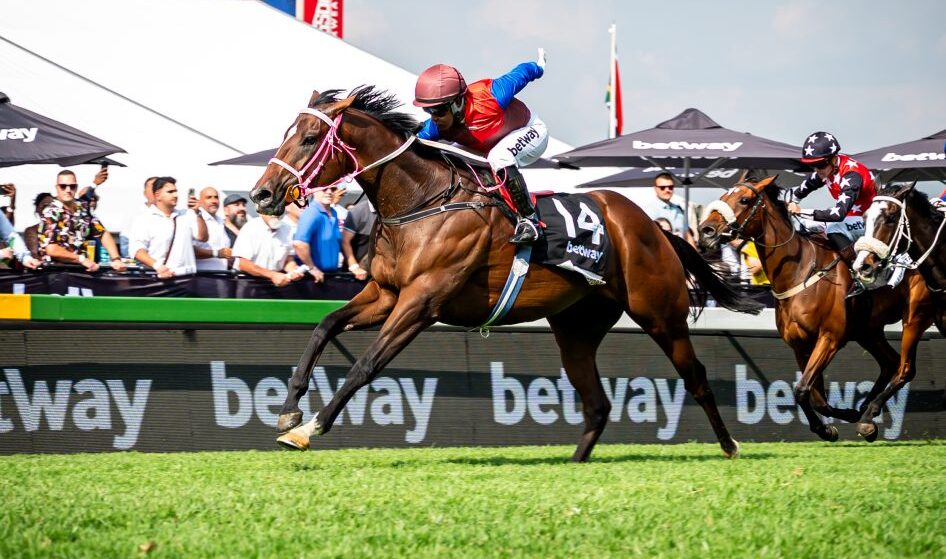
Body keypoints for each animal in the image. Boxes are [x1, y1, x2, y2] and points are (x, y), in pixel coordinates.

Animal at [249, 86, 763, 462]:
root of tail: (653, 228)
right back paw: (574, 463)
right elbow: (324, 326)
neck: (421, 202)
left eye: (310, 139)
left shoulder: (421, 302)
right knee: (597, 402)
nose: (261, 195)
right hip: (576, 329)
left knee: (695, 377)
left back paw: (731, 446)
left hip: (660, 314)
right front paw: (289, 412)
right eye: (288, 133)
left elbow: (365, 364)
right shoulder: (386, 292)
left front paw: (311, 427)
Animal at [699, 176, 935, 442]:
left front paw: (834, 424)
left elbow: (802, 389)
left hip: (914, 317)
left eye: (744, 200)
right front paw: (838, 421)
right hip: (868, 331)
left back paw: (868, 413)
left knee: (904, 367)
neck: (799, 272)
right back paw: (866, 411)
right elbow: (815, 396)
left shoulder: (829, 338)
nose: (706, 230)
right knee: (890, 363)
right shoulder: (800, 344)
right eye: (724, 196)